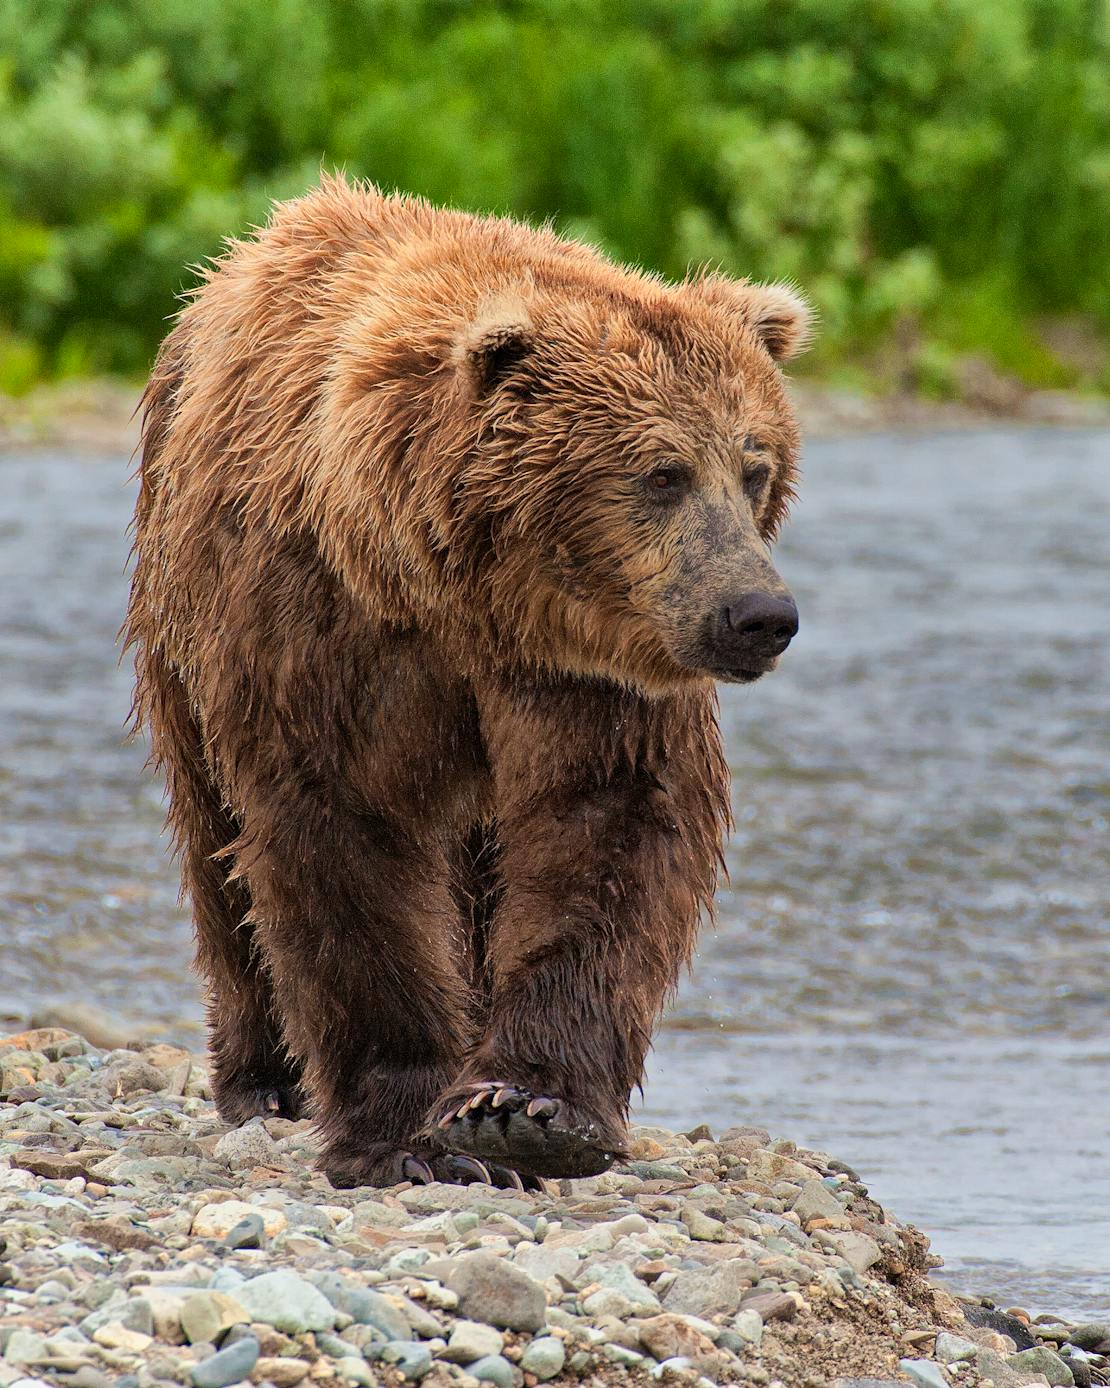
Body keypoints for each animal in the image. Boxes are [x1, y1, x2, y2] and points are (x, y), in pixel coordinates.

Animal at [125, 173, 810, 1188]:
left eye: (754, 463)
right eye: (663, 472)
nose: (758, 613)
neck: (462, 597)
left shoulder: (583, 675)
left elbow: (606, 829)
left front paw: (524, 1108)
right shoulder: (322, 631)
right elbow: (341, 840)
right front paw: (404, 1134)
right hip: (179, 612)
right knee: (216, 839)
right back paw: (264, 1078)